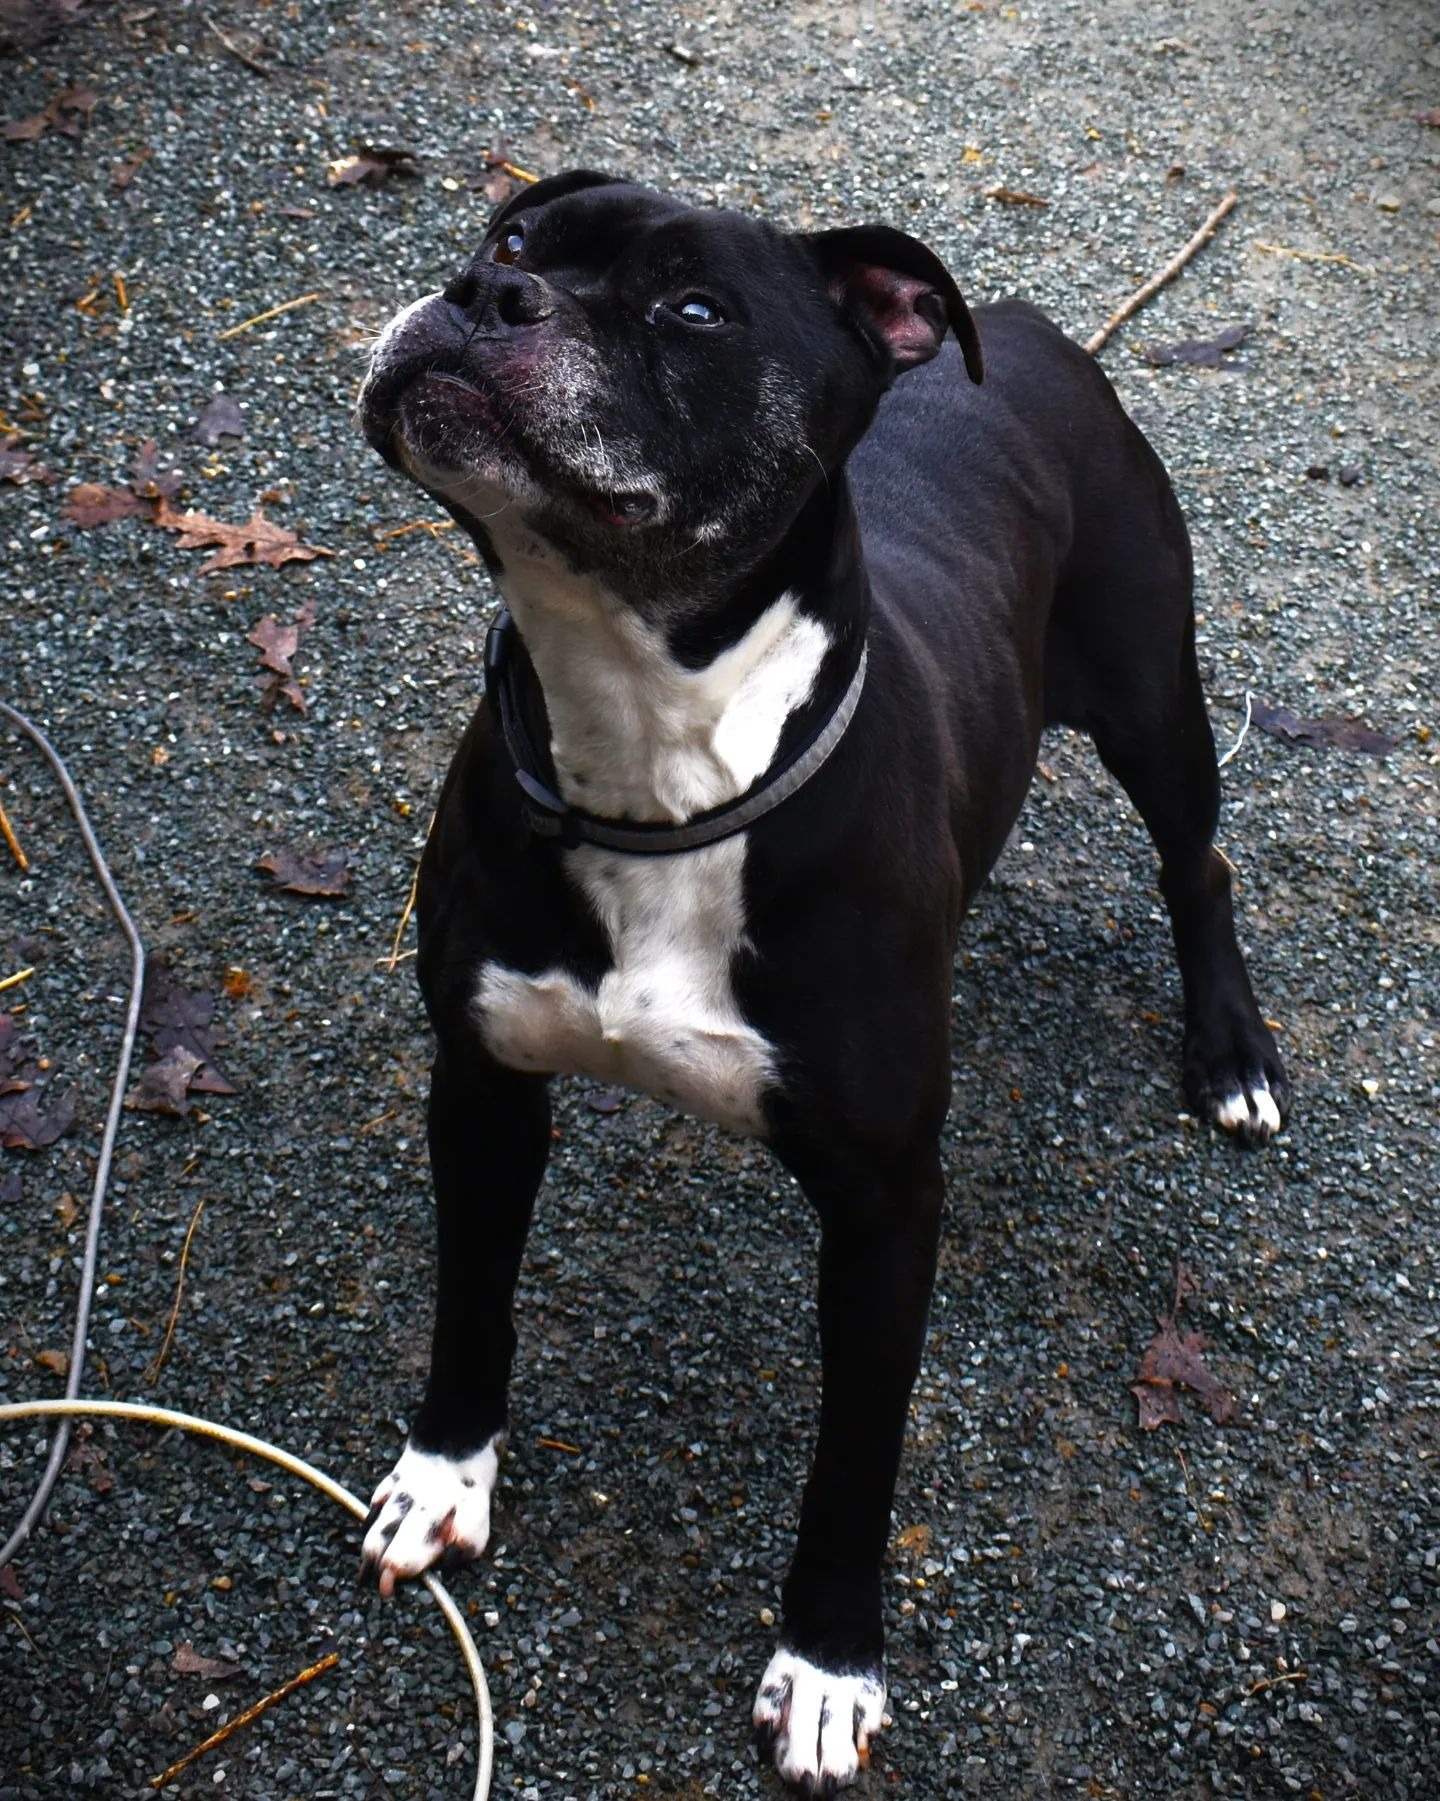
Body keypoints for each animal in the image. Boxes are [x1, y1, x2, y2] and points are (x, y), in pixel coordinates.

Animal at [354, 171, 1288, 1786]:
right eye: (514, 241)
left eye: (694, 310)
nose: (484, 296)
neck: (652, 757)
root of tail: (1028, 328)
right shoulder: (480, 1086)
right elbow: (472, 1301)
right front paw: (441, 1474)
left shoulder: (887, 1209)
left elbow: (857, 1454)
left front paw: (831, 1662)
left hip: (1152, 693)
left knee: (1199, 864)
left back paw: (1229, 1050)